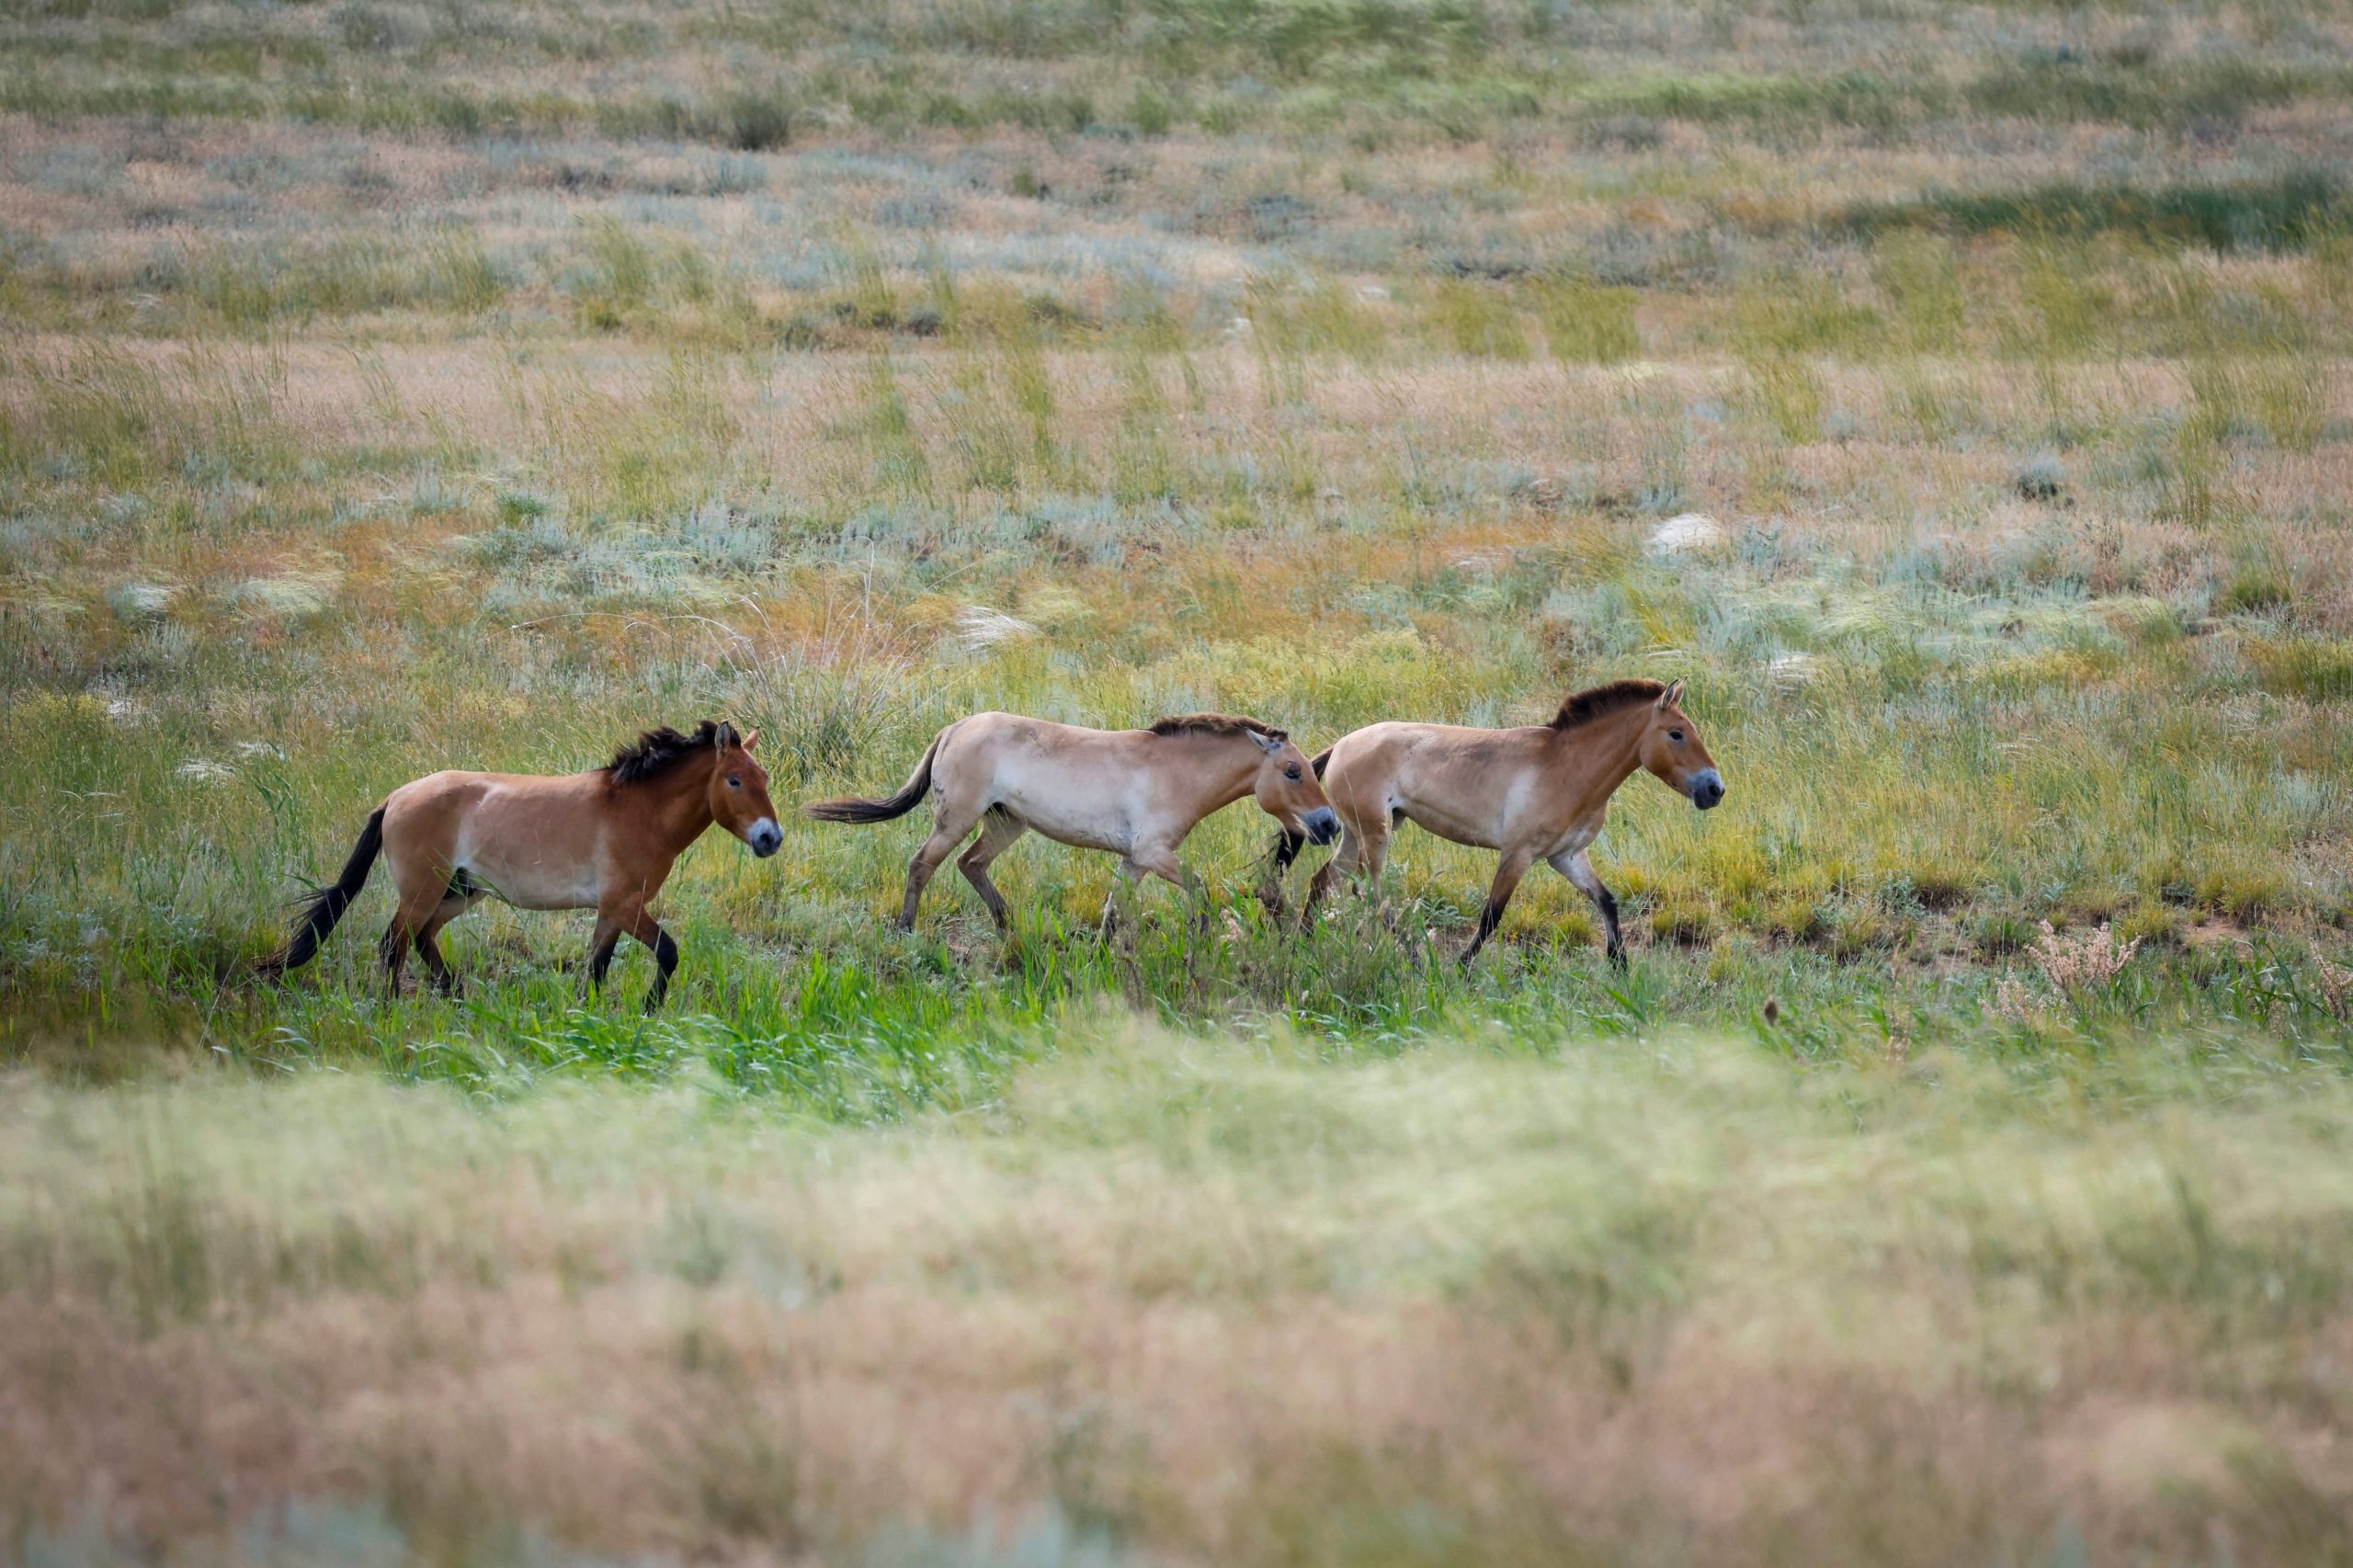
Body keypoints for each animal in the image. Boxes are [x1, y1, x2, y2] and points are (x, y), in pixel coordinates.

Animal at [257, 720, 783, 1010]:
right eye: (735, 780)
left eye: (765, 776)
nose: (770, 838)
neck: (639, 810)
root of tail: (397, 796)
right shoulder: (624, 905)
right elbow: (666, 953)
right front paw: (647, 1011)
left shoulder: (611, 912)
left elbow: (596, 968)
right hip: (423, 890)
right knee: (395, 945)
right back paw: (392, 1012)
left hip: (459, 892)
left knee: (424, 940)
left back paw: (458, 1000)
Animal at [804, 712, 1340, 934]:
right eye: (1293, 771)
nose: (1330, 825)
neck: (1174, 771)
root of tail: (955, 728)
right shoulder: (1154, 854)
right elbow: (1201, 890)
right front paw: (1203, 938)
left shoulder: (1135, 860)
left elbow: (1113, 910)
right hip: (956, 819)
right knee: (922, 865)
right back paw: (906, 930)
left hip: (1005, 824)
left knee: (970, 865)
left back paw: (1007, 924)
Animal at [1269, 678, 1723, 967]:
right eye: (1677, 733)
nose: (1714, 789)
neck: (1567, 768)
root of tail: (1341, 745)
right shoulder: (1518, 855)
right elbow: (1491, 916)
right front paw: (1461, 969)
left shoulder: (1567, 856)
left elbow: (1607, 902)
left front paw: (1620, 967)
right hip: (1374, 836)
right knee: (1373, 896)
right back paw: (1414, 957)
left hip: (1358, 834)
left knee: (1323, 882)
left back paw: (1301, 945)